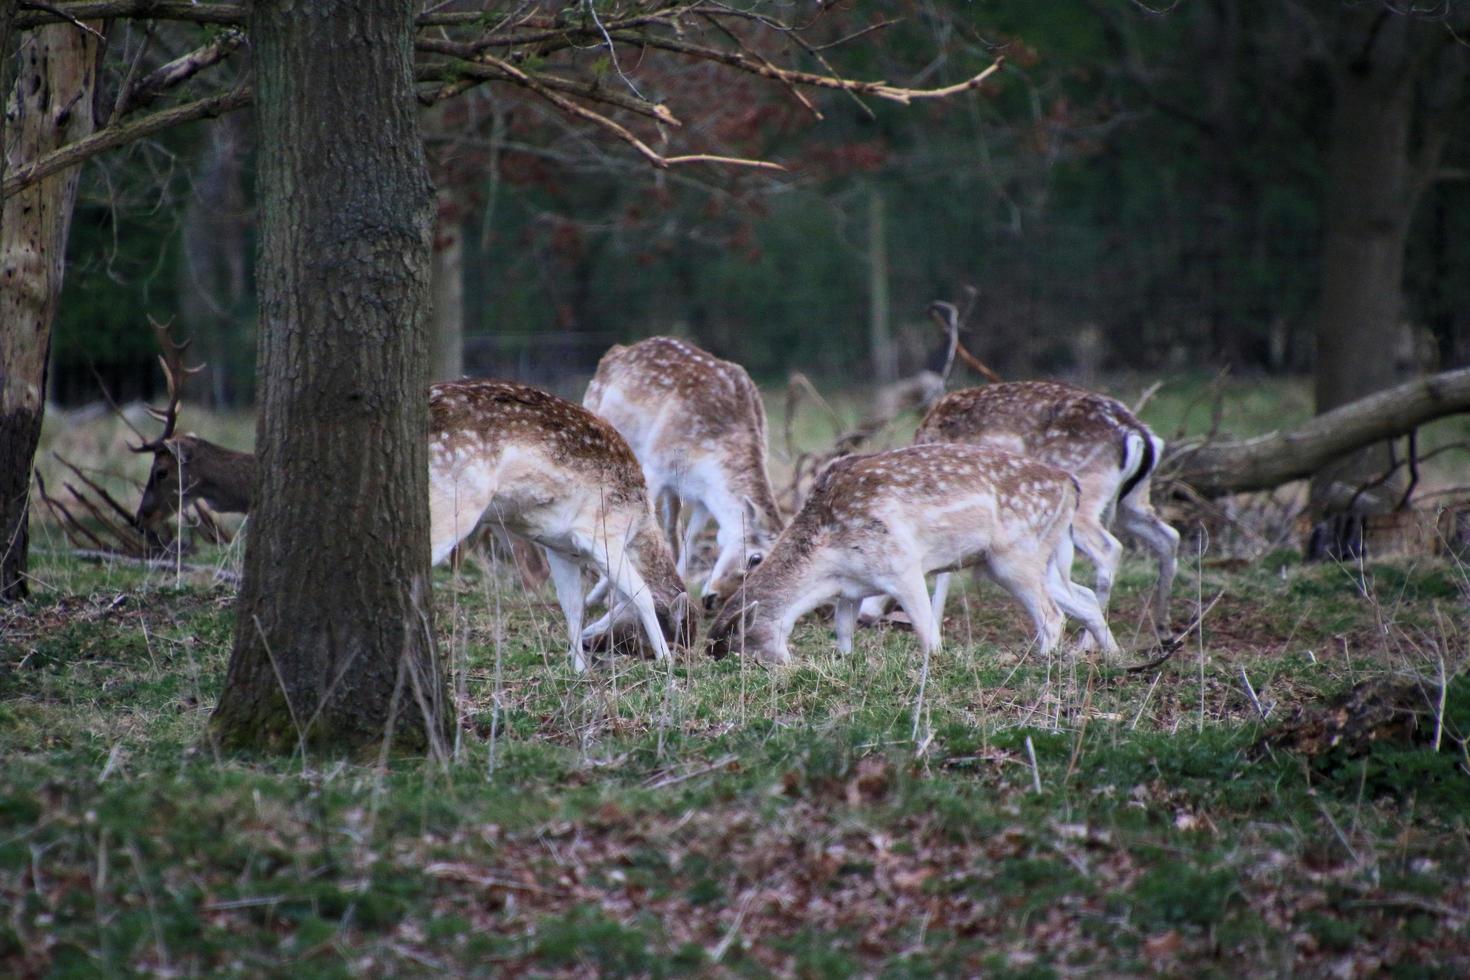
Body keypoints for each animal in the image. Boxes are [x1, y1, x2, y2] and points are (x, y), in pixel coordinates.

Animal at [429, 379, 693, 669]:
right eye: (678, 633)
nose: (593, 642)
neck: (638, 524)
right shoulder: (601, 533)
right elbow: (641, 593)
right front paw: (666, 661)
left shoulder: (560, 547)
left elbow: (573, 606)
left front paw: (579, 668)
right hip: (452, 503)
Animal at [585, 337, 793, 614]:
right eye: (755, 558)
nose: (713, 599)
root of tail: (615, 352)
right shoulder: (655, 464)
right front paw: (599, 598)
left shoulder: (703, 496)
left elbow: (691, 538)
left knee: (670, 526)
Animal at [705, 446, 1117, 667]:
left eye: (738, 650)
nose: (781, 666)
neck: (826, 563)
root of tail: (1071, 485)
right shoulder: (851, 587)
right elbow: (843, 629)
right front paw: (846, 660)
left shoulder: (900, 564)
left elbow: (926, 627)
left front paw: (933, 661)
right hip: (1033, 558)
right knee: (1083, 598)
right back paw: (1112, 656)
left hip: (1015, 556)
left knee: (1052, 614)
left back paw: (1041, 660)